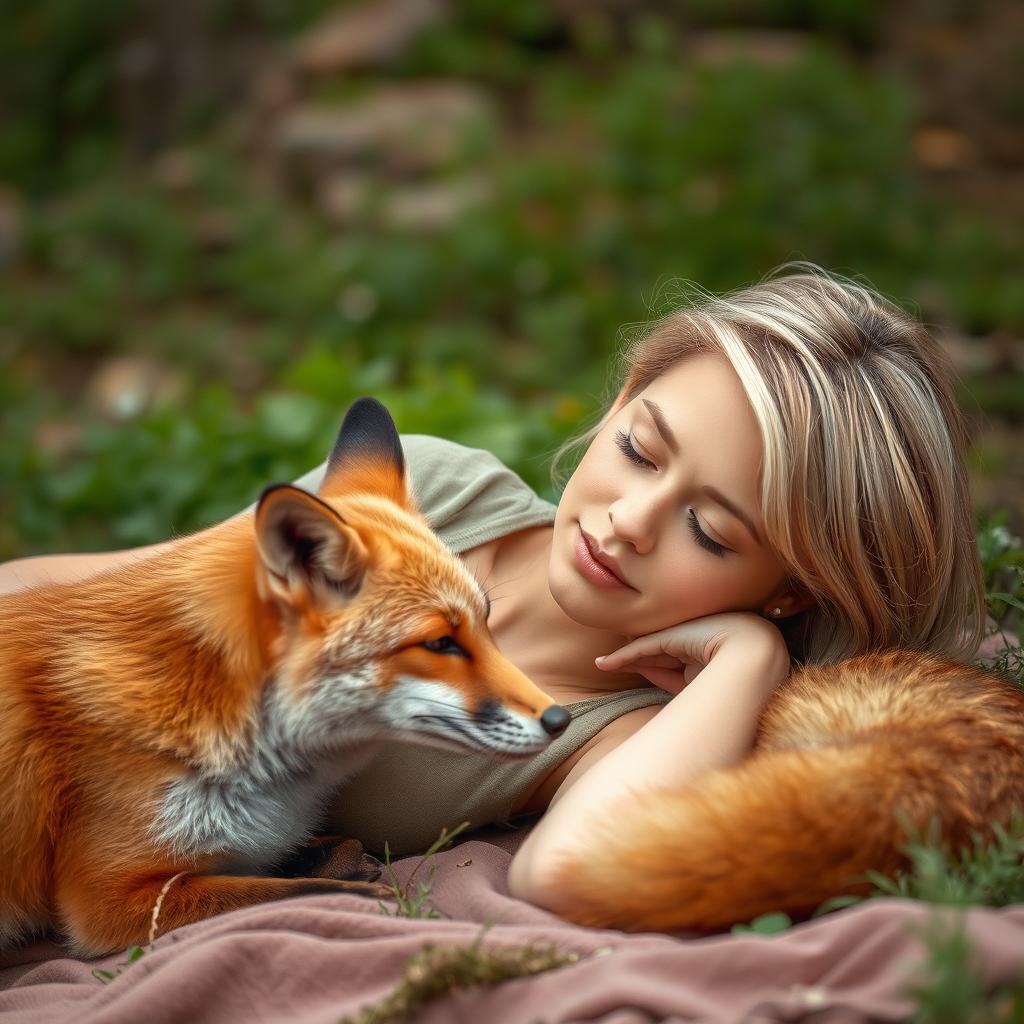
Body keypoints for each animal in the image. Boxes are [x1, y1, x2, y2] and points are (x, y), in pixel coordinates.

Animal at [0, 397, 573, 958]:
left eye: (487, 623)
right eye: (439, 643)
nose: (559, 719)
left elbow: (306, 856)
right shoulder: (107, 899)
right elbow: (285, 894)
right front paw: (358, 889)